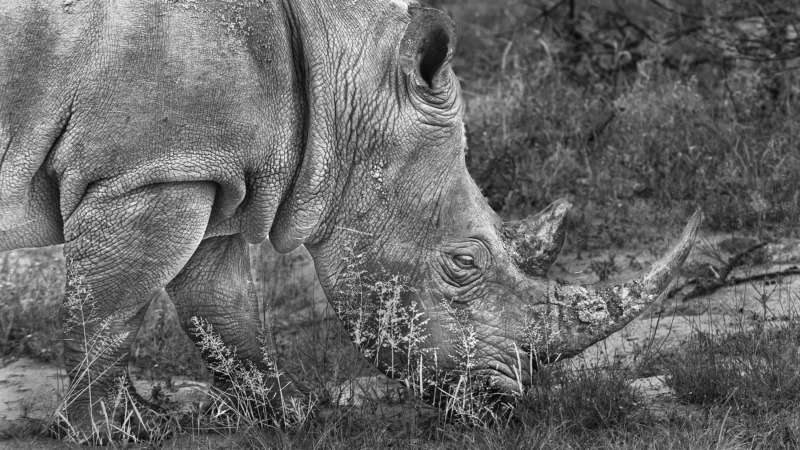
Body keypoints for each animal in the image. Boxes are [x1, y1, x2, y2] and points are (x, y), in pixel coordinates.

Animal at [0, 0, 700, 439]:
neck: (348, 76)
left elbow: (223, 308)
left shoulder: (205, 167)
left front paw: (293, 414)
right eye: (462, 263)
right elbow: (111, 312)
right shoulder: (148, 171)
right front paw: (111, 433)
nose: (504, 404)